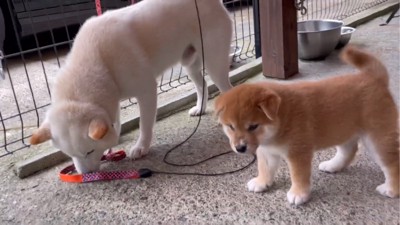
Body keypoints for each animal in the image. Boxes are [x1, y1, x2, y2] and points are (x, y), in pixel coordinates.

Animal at [29, 0, 233, 173]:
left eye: (89, 152)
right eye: (69, 154)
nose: (86, 175)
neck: (99, 60)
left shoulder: (147, 91)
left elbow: (145, 125)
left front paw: (141, 147)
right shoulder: (112, 101)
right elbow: (116, 125)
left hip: (214, 63)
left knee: (226, 88)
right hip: (189, 64)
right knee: (202, 84)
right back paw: (200, 108)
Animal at [216, 46, 400, 206]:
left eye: (253, 126)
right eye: (230, 127)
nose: (240, 148)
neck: (282, 119)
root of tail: (375, 78)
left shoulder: (298, 153)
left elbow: (298, 175)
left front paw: (299, 194)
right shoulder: (266, 151)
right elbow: (265, 169)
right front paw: (262, 182)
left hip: (377, 139)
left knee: (392, 163)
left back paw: (391, 189)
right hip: (343, 130)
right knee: (348, 151)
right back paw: (333, 165)